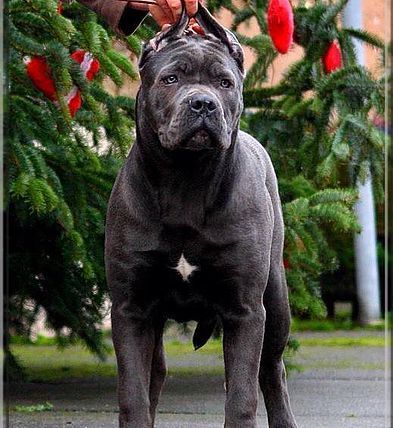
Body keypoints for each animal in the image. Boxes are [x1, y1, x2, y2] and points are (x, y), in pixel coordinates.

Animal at [104, 4, 298, 428]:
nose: (203, 104)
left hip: (275, 299)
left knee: (271, 370)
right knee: (156, 374)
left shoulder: (245, 309)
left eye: (224, 82)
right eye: (171, 78)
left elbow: (241, 395)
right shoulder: (131, 308)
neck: (186, 179)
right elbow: (132, 394)